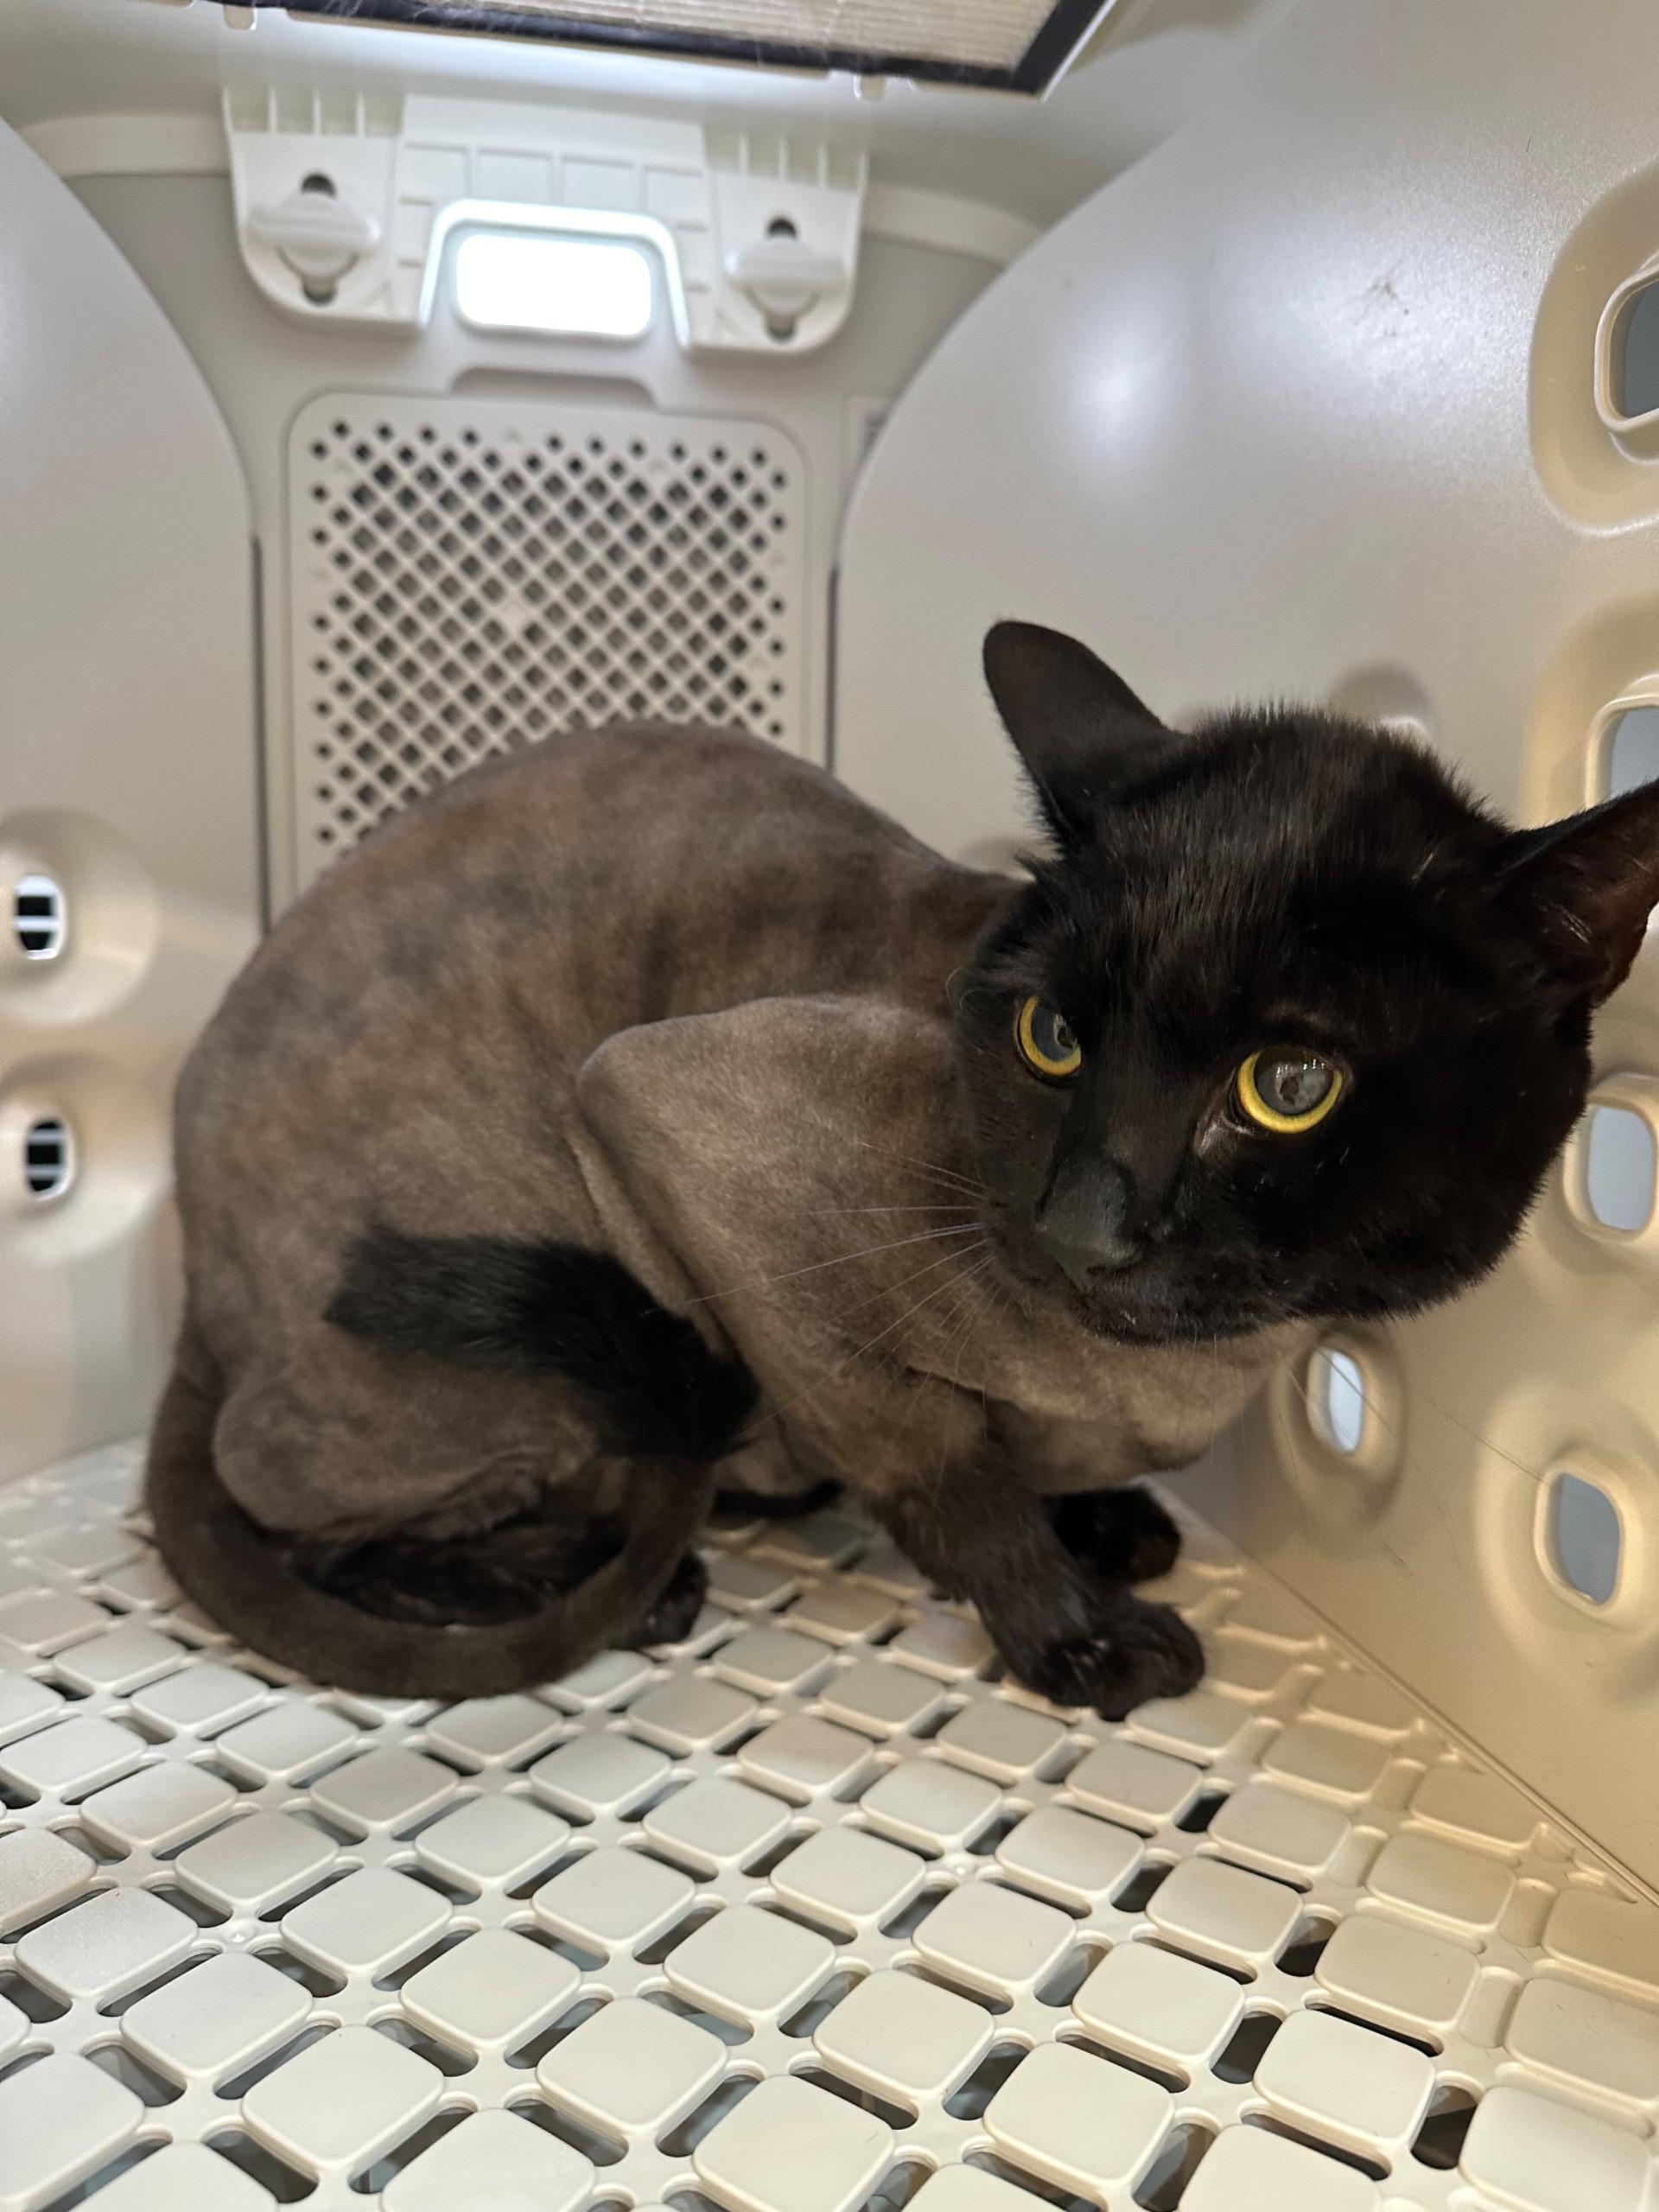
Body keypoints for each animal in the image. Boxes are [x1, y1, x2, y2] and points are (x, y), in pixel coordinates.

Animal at [146, 621, 1659, 1712]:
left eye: (1288, 1090)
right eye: (1055, 1038)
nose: (1084, 1224)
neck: (1188, 1378)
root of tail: (188, 1297)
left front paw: (1103, 1521)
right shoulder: (689, 1138)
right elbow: (950, 1475)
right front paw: (1077, 1639)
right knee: (299, 1511)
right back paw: (614, 1572)